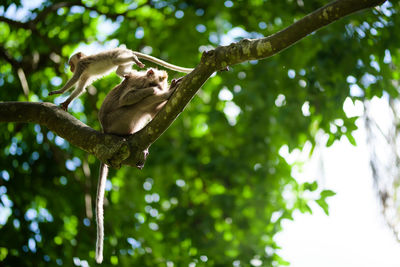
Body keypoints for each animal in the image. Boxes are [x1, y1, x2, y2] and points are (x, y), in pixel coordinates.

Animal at [48, 47, 192, 111]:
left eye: (71, 64)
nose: (70, 68)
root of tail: (127, 50)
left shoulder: (81, 66)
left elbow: (74, 79)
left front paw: (59, 91)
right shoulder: (86, 74)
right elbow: (80, 88)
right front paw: (66, 103)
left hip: (120, 54)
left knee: (117, 60)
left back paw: (134, 58)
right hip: (124, 62)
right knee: (120, 70)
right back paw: (127, 75)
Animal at [94, 68, 180, 264]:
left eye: (159, 82)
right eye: (154, 82)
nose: (159, 87)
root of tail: (105, 130)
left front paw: (167, 89)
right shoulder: (137, 83)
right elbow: (127, 99)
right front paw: (158, 92)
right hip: (120, 120)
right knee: (137, 105)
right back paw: (164, 96)